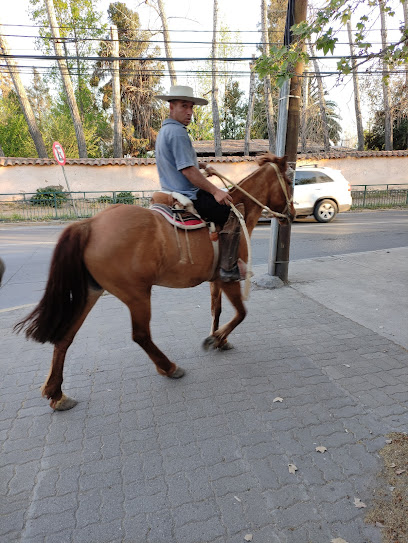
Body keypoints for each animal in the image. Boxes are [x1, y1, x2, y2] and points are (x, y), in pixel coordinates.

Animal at [13, 155, 294, 410]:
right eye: (291, 181)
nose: (290, 214)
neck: (239, 210)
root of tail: (90, 224)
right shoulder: (229, 279)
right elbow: (241, 313)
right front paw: (216, 339)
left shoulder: (216, 279)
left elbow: (217, 310)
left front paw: (219, 338)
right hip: (137, 294)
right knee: (140, 335)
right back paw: (168, 367)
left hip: (91, 292)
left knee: (65, 336)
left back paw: (57, 393)